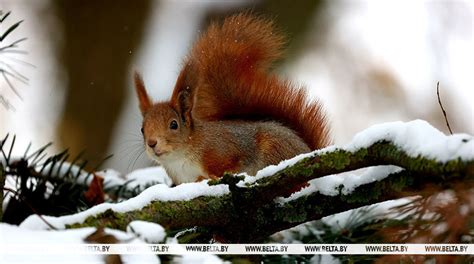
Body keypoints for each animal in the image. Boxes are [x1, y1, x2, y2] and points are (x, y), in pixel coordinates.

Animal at [131, 13, 328, 185]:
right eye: (142, 129)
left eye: (174, 124)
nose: (152, 143)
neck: (180, 158)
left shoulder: (224, 149)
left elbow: (232, 165)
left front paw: (206, 178)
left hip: (274, 150)